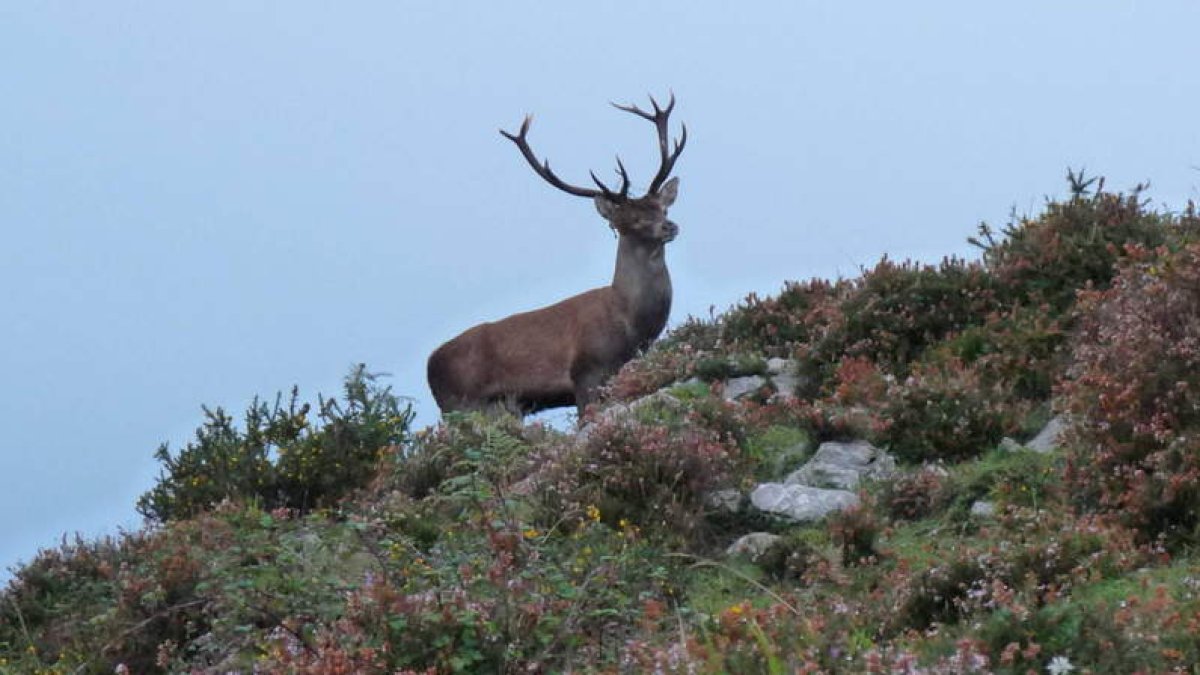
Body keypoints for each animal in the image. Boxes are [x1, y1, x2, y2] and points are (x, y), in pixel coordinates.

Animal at [427, 94, 687, 418]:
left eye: (663, 208)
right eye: (632, 219)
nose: (670, 226)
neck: (632, 324)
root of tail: (430, 365)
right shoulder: (587, 371)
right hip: (460, 403)